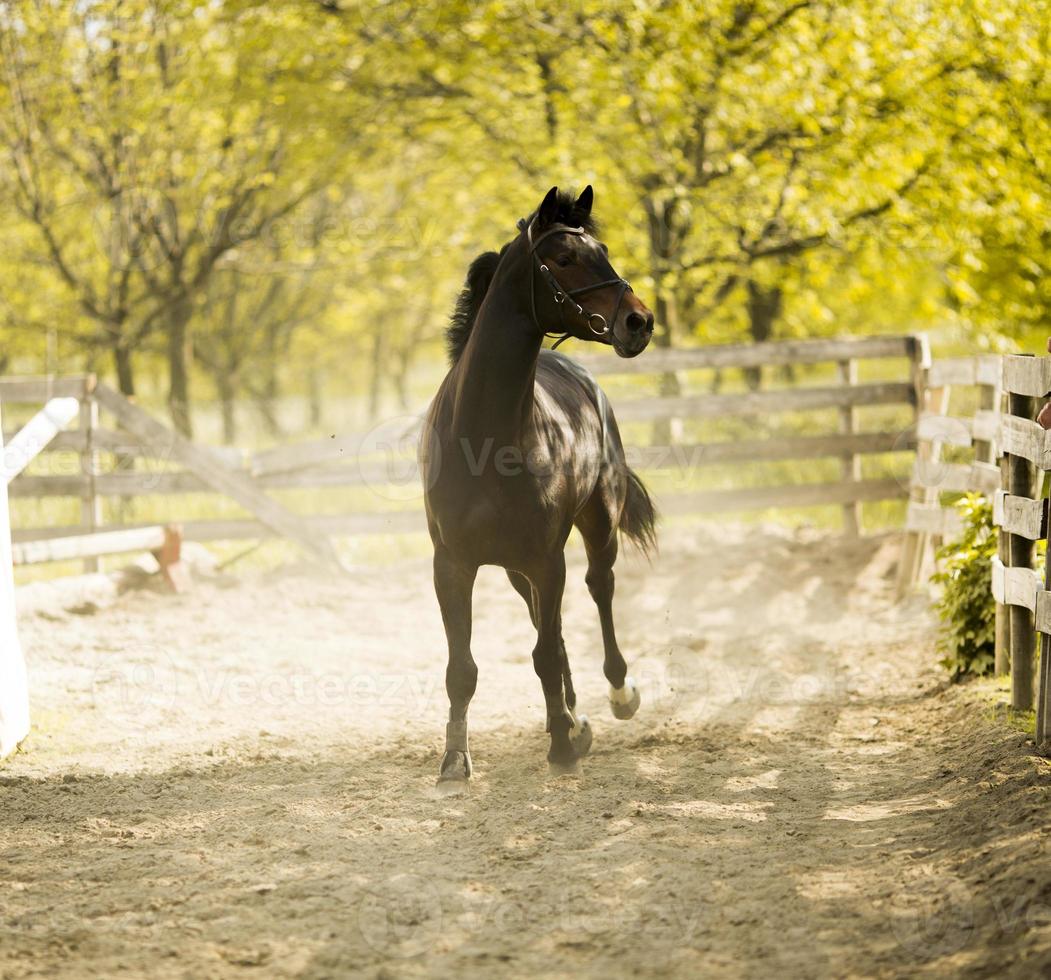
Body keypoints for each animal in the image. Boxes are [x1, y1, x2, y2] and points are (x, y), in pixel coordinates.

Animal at [420, 184, 655, 790]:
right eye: (565, 258)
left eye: (603, 250)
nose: (639, 321)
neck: (487, 432)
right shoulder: (453, 563)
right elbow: (462, 668)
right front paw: (454, 761)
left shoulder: (548, 558)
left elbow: (544, 654)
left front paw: (563, 746)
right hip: (514, 567)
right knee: (549, 625)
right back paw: (571, 715)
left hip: (594, 528)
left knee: (599, 589)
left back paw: (614, 696)